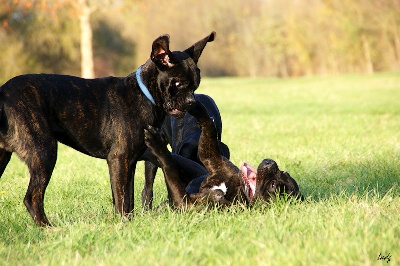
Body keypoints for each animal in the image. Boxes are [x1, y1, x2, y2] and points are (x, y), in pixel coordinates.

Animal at [0, 31, 216, 227]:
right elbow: (121, 200)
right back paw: (50, 230)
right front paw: (123, 225)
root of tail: (3, 94)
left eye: (196, 85)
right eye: (178, 83)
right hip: (44, 153)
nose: (191, 102)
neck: (143, 95)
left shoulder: (130, 162)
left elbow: (128, 199)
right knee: (32, 198)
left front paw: (128, 223)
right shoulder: (118, 159)